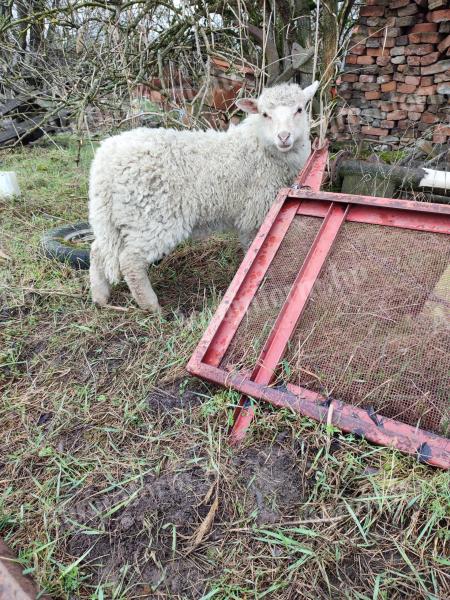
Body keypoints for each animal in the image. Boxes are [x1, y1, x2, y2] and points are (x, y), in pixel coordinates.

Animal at [89, 81, 320, 312]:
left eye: (299, 109)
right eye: (265, 114)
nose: (284, 137)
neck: (259, 146)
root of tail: (104, 163)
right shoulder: (256, 212)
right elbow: (255, 248)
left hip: (118, 218)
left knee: (98, 251)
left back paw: (101, 297)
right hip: (151, 217)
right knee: (130, 261)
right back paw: (152, 306)